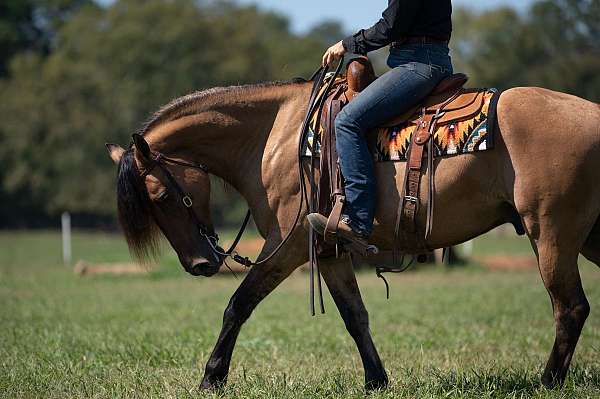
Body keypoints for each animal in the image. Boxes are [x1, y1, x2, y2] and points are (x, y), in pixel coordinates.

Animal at [105, 79, 600, 392]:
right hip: (589, 236)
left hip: (551, 235)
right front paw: (376, 380)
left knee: (570, 307)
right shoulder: (329, 250)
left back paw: (548, 382)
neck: (274, 136)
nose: (199, 265)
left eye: (160, 195)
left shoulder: (286, 247)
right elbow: (354, 315)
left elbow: (238, 304)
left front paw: (212, 377)